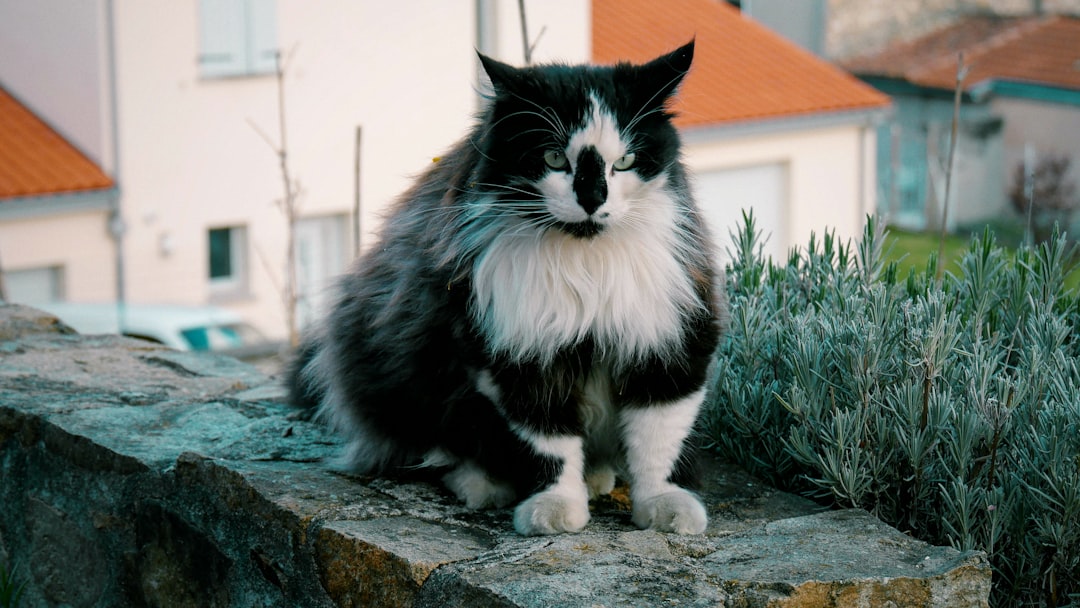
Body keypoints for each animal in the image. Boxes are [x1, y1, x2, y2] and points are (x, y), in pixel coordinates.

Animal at [287, 42, 725, 535]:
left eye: (625, 162)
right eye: (554, 159)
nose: (593, 200)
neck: (586, 266)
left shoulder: (669, 341)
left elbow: (658, 440)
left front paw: (665, 507)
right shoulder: (516, 354)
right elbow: (548, 445)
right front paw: (555, 510)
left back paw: (596, 476)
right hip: (407, 373)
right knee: (438, 451)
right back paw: (485, 484)